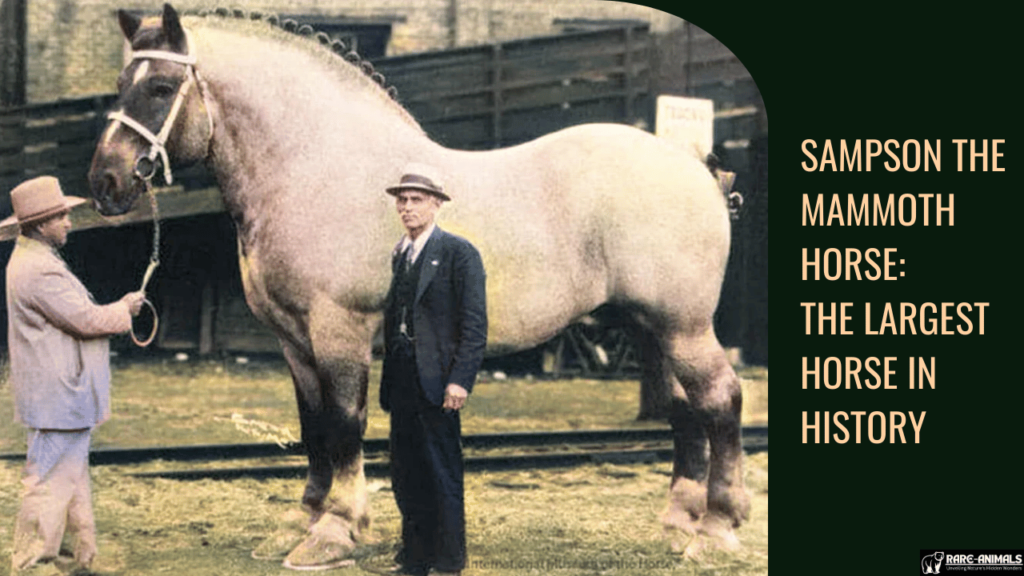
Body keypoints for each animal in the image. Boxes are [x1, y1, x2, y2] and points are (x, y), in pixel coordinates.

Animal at [90, 3, 753, 569]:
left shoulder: (339, 329)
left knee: (720, 399)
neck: (317, 168)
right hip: (649, 327)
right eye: (121, 82)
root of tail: (696, 167)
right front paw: (300, 522)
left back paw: (718, 529)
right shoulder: (293, 340)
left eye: (160, 87)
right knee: (683, 408)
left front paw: (335, 530)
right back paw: (678, 523)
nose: (105, 182)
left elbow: (344, 424)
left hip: (683, 326)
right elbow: (312, 426)